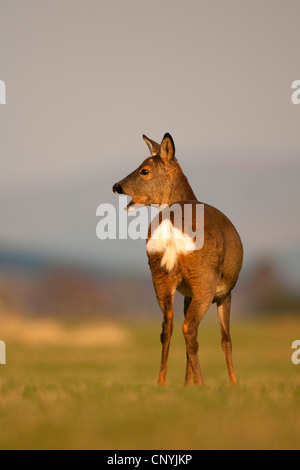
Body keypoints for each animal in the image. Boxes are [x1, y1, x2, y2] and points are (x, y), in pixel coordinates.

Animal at [113, 133, 244, 386]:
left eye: (144, 170)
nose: (116, 186)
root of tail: (172, 223)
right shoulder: (226, 291)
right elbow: (226, 339)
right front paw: (233, 383)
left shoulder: (186, 293)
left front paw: (186, 385)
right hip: (204, 279)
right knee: (189, 329)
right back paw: (202, 384)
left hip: (159, 274)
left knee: (167, 326)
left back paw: (161, 382)